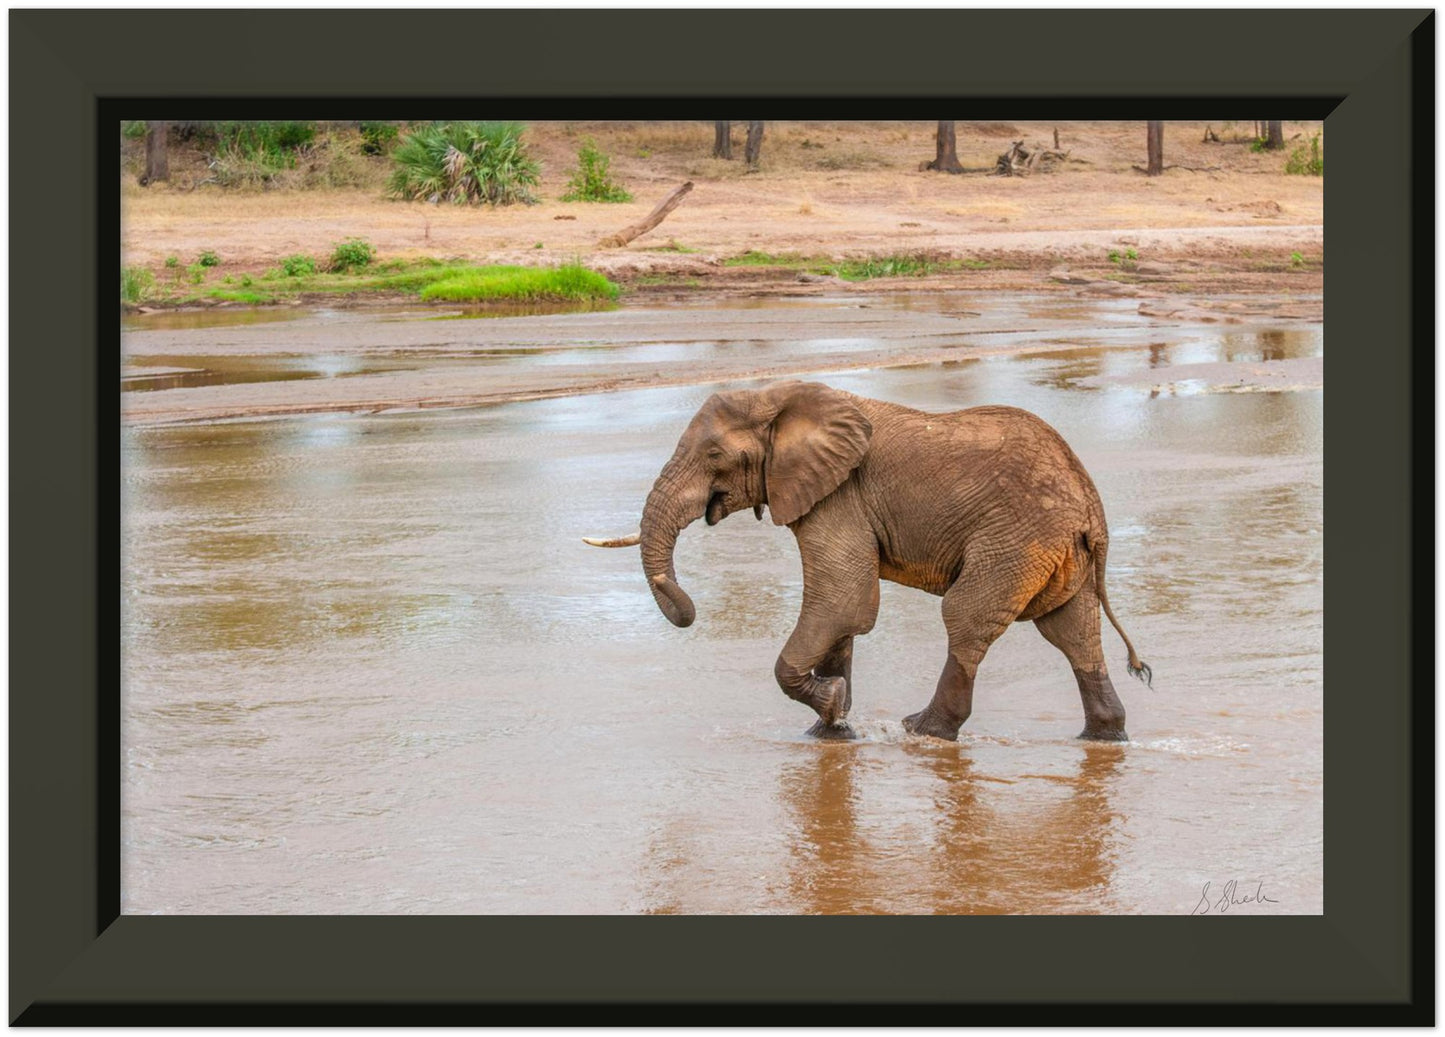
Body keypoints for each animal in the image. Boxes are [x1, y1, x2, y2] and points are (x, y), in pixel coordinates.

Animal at [586, 378, 1150, 745]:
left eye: (713, 457)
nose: (688, 612)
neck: (780, 396)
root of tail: (1091, 508)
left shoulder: (840, 496)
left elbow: (842, 600)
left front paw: (834, 708)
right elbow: (843, 617)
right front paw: (830, 731)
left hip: (1015, 540)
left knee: (966, 617)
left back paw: (923, 730)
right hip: (1057, 552)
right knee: (1073, 631)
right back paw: (1104, 737)